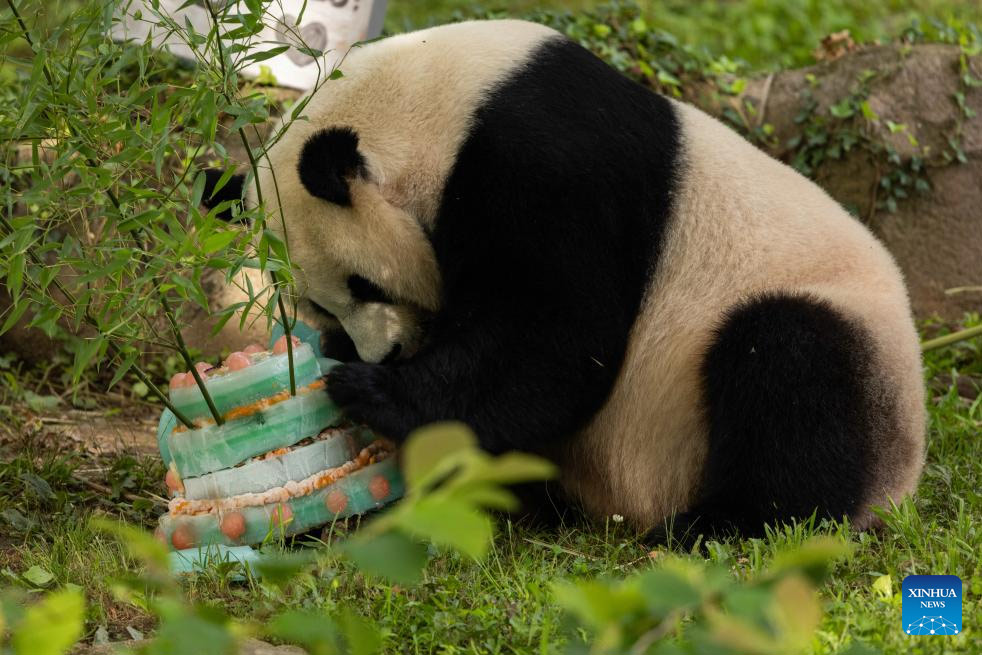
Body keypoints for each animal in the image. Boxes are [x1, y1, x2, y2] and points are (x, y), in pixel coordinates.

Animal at [204, 20, 928, 540]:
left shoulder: (551, 164)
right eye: (322, 308)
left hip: (828, 333)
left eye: (363, 285)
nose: (387, 352)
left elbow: (551, 338)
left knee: (792, 375)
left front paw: (371, 390)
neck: (435, 103)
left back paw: (719, 525)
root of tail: (904, 476)